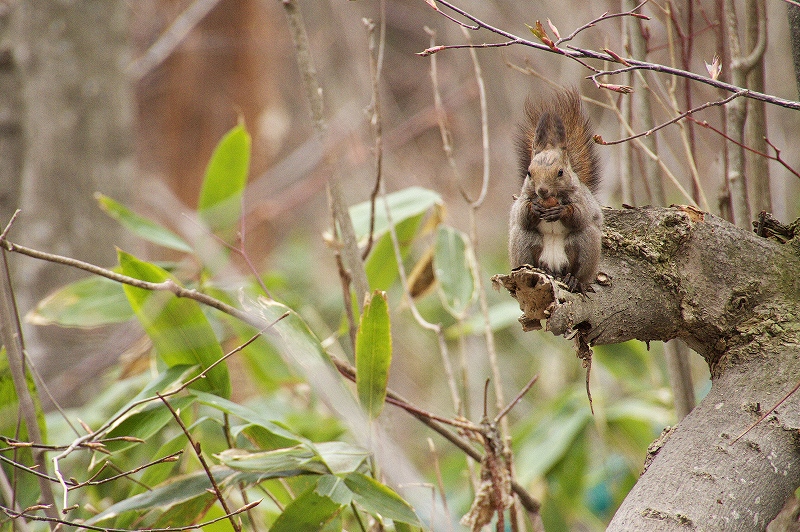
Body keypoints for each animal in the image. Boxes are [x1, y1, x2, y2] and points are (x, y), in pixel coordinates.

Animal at [510, 89, 604, 294]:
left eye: (560, 172)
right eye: (529, 172)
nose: (542, 191)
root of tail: (554, 267)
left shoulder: (581, 200)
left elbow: (580, 215)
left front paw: (561, 211)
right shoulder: (523, 197)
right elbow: (521, 213)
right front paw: (534, 208)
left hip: (586, 243)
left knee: (579, 270)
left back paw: (573, 279)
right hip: (523, 241)